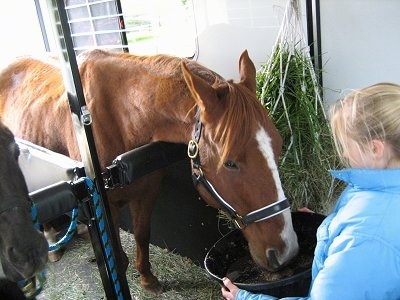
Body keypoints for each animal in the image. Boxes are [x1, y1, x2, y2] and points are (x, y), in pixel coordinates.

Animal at [0, 49, 298, 296]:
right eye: (230, 163)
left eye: (279, 145)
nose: (287, 249)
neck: (121, 119)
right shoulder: (105, 206)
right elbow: (116, 256)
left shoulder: (146, 191)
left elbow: (142, 234)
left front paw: (147, 278)